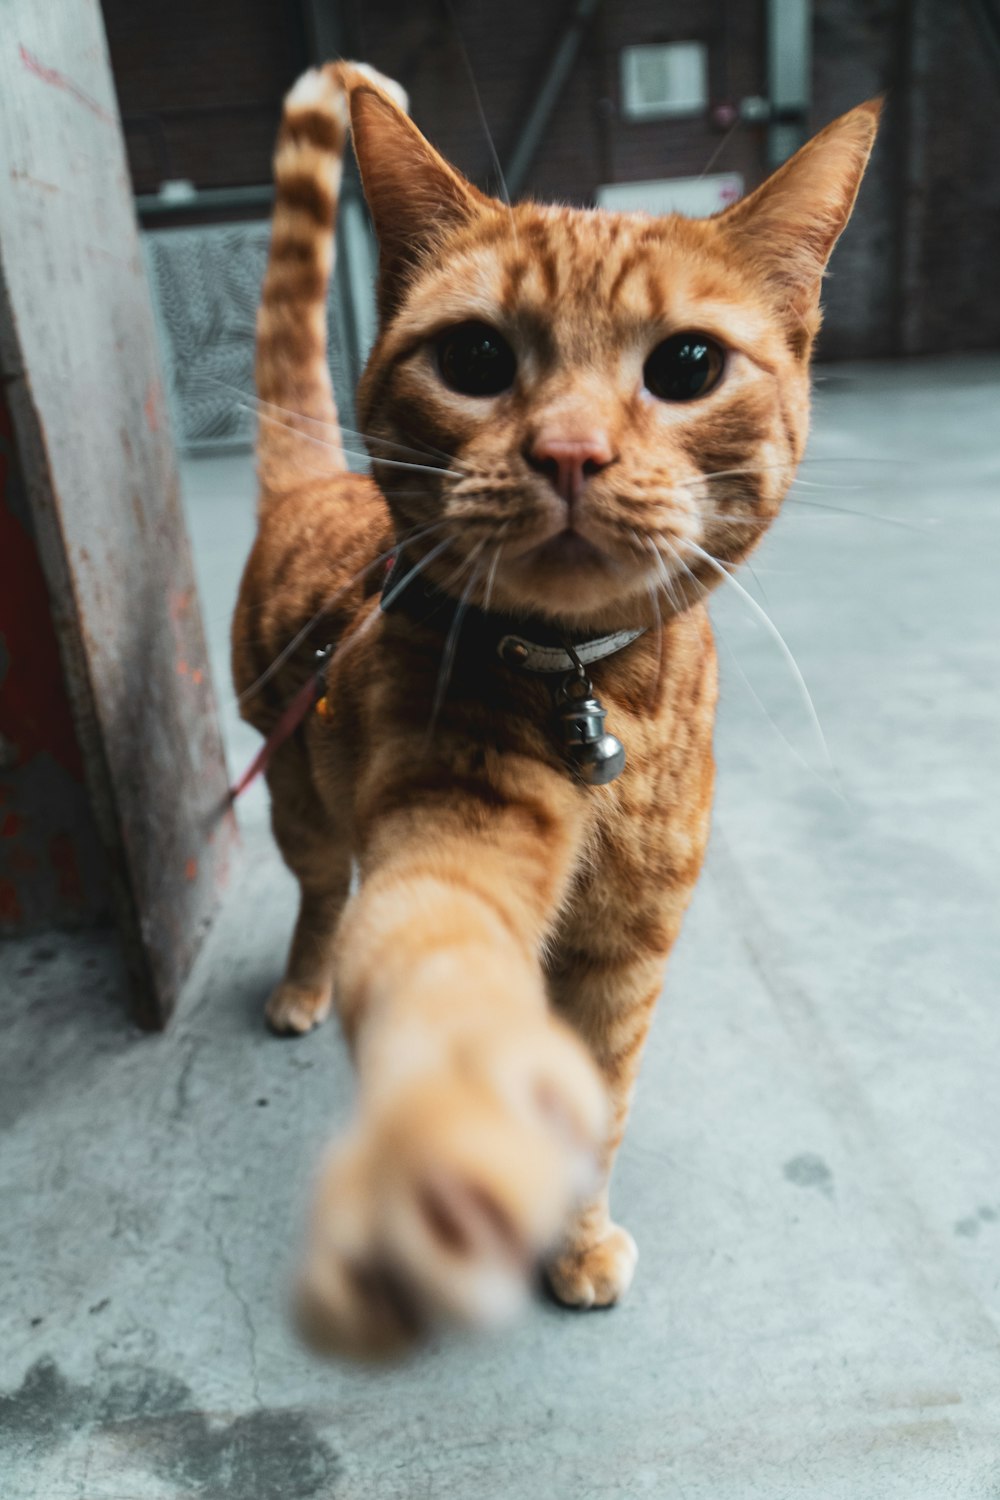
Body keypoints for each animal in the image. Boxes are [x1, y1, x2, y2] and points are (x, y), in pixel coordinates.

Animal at [232, 64, 875, 1362]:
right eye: (476, 355)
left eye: (687, 365)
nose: (569, 451)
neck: (593, 695)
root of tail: (309, 480)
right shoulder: (451, 840)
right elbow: (436, 972)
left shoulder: (624, 956)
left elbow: (600, 1101)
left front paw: (573, 1241)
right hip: (298, 805)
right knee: (325, 897)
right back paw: (301, 985)